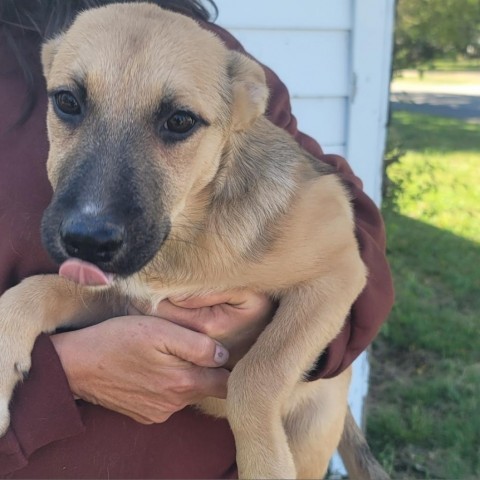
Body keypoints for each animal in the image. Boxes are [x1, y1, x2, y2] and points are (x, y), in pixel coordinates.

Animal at [0, 4, 388, 480]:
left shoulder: (339, 270)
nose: (86, 241)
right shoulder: (123, 295)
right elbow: (34, 289)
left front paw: (264, 461)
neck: (187, 236)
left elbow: (256, 374)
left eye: (180, 121)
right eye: (67, 102)